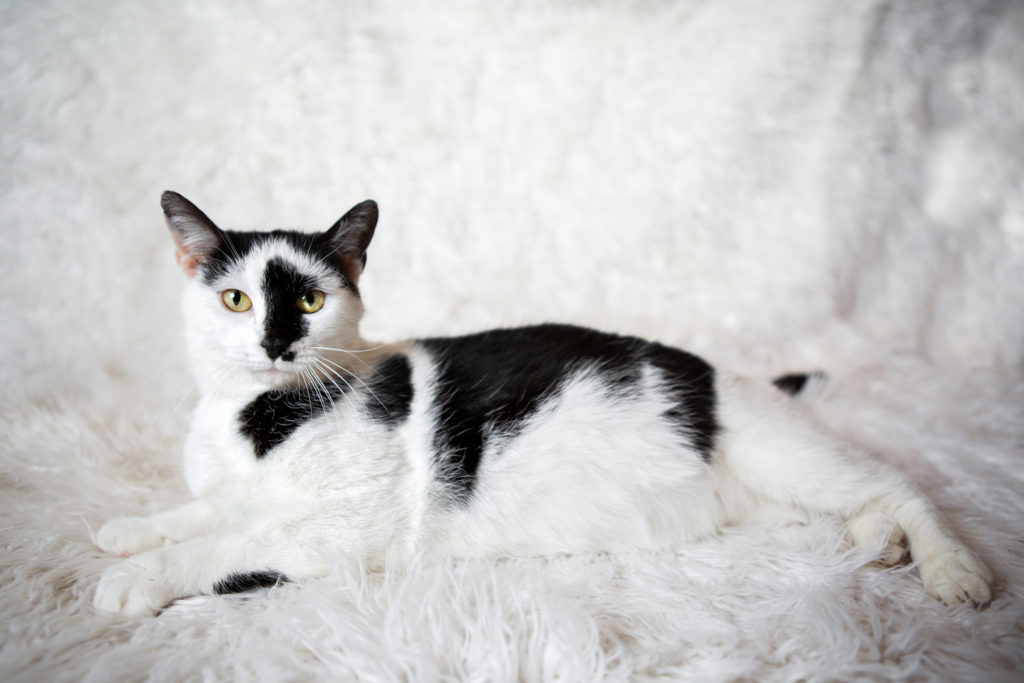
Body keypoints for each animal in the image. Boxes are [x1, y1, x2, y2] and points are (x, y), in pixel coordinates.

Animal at [94, 189, 991, 618]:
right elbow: (202, 513)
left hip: (779, 450)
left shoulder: (347, 528)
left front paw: (136, 578)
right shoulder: (236, 492)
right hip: (762, 498)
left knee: (900, 483)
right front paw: (128, 531)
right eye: (237, 299)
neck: (260, 417)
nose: (275, 343)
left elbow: (226, 544)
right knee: (854, 504)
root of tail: (726, 374)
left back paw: (951, 567)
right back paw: (875, 544)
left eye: (309, 301)